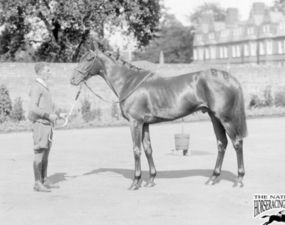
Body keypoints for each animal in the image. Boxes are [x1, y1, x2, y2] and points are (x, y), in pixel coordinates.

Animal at [70, 49, 246, 190]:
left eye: (88, 59)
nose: (73, 79)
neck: (129, 82)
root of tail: (229, 78)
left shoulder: (135, 122)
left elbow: (136, 150)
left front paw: (135, 182)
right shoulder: (145, 123)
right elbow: (148, 148)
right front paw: (151, 180)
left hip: (226, 118)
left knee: (237, 143)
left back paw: (239, 180)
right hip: (214, 117)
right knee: (222, 143)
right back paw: (213, 178)